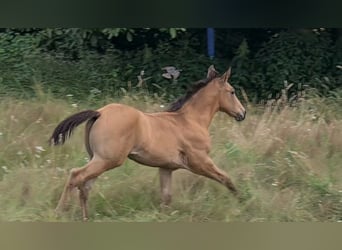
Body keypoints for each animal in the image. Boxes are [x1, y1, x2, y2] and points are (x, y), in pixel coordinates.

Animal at [50, 65, 246, 222]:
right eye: (232, 91)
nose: (242, 113)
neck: (190, 120)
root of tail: (99, 113)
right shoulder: (199, 162)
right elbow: (226, 178)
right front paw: (241, 203)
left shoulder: (166, 168)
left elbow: (166, 197)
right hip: (108, 160)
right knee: (76, 176)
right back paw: (58, 213)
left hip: (98, 159)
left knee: (85, 186)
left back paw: (85, 218)